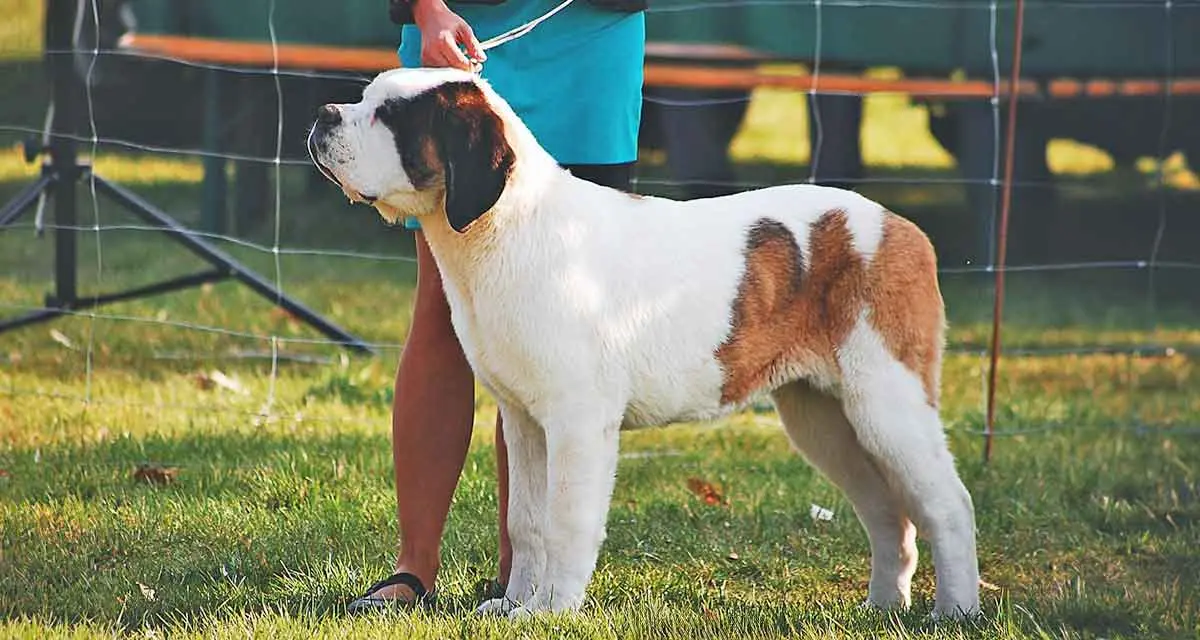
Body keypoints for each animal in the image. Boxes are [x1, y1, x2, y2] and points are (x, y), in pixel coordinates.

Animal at [309, 68, 984, 619]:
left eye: (392, 116)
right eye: (364, 99)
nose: (324, 115)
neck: (504, 227)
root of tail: (901, 227)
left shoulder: (578, 422)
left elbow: (564, 520)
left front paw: (551, 612)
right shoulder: (524, 421)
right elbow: (526, 521)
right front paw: (513, 605)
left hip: (885, 401)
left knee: (949, 501)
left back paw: (955, 612)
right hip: (824, 417)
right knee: (887, 511)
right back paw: (884, 605)